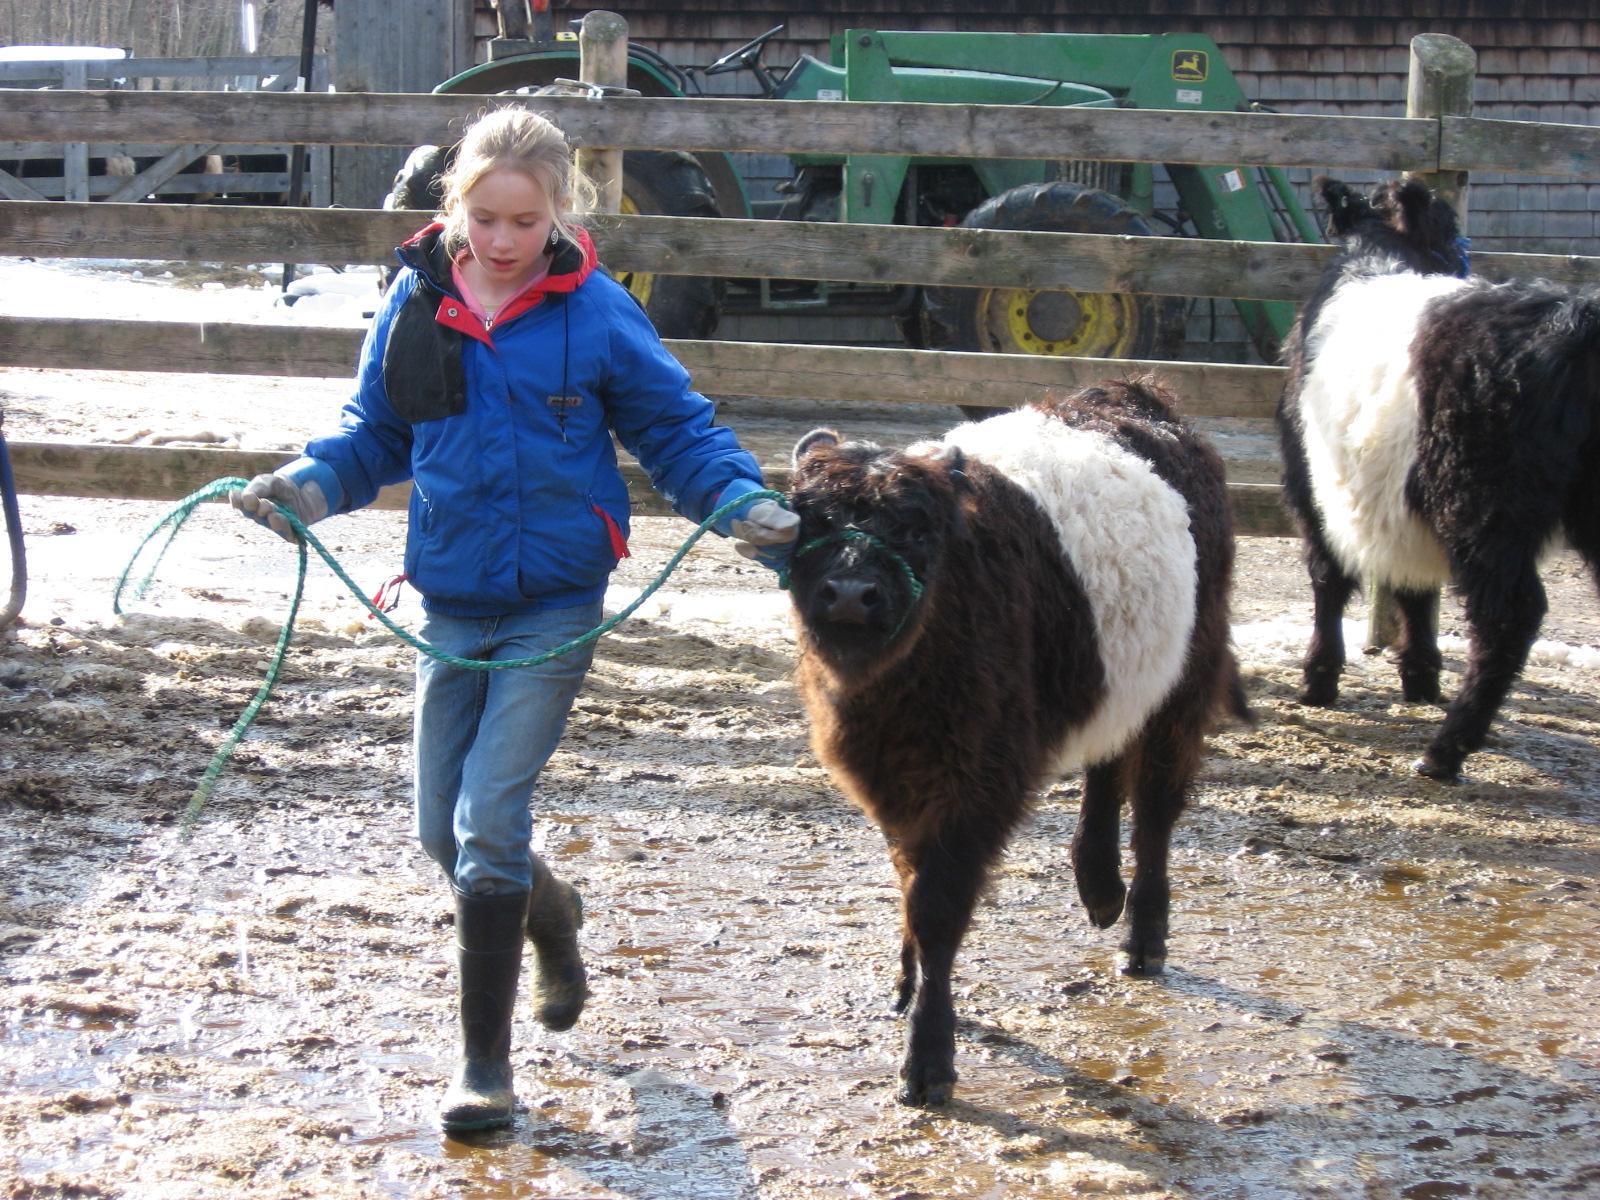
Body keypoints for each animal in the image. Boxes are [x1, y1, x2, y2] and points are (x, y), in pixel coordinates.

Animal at [780, 377, 1241, 1107]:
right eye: (812, 519)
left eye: (917, 529)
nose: (851, 594)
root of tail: (1132, 396)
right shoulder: (894, 779)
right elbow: (908, 882)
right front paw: (906, 984)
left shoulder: (976, 782)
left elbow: (937, 906)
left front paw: (928, 1056)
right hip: (1115, 673)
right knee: (1107, 763)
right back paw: (1099, 887)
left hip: (1185, 682)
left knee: (1156, 807)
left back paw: (1143, 935)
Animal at [1280, 176, 1600, 780]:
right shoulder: (1393, 498)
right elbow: (1415, 588)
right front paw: (1421, 675)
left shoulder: (1311, 485)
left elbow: (1329, 577)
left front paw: (1320, 679)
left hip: (1481, 507)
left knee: (1508, 618)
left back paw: (1446, 749)